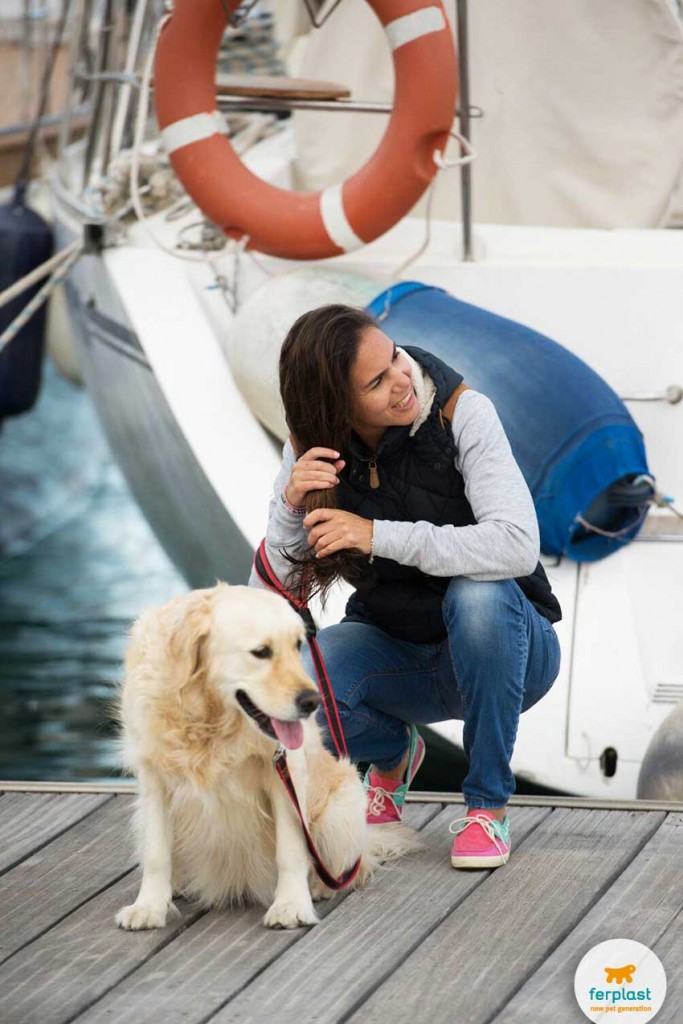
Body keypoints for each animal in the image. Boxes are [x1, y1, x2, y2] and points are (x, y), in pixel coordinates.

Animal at [114, 585, 419, 929]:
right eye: (261, 652)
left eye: (298, 645)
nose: (313, 701)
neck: (210, 718)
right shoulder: (154, 777)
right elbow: (156, 853)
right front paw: (149, 907)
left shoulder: (285, 774)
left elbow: (290, 851)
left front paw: (290, 906)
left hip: (343, 806)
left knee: (354, 863)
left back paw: (321, 886)